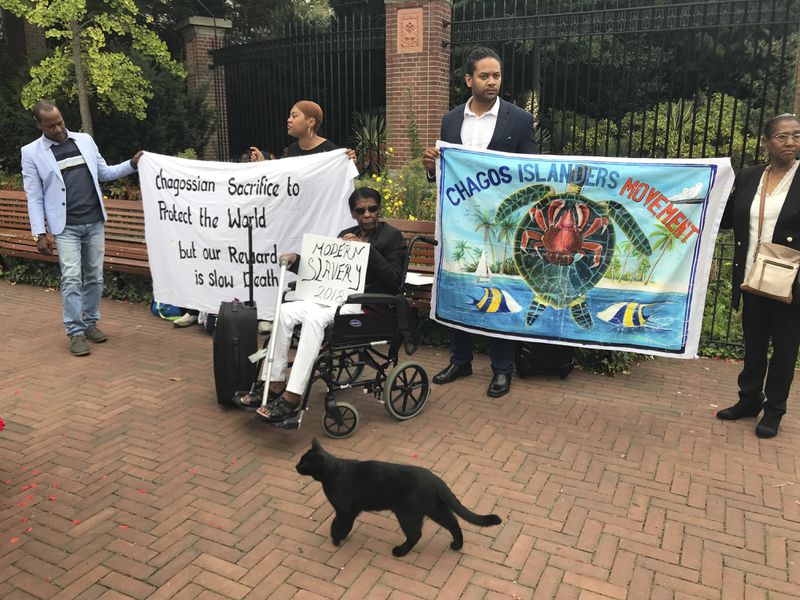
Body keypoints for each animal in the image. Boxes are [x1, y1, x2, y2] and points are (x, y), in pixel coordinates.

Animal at [296, 436, 504, 556]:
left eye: (305, 463)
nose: (296, 466)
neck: (334, 472)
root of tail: (433, 477)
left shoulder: (345, 510)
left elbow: (336, 524)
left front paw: (335, 539)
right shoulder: (351, 512)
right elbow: (345, 525)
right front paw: (342, 536)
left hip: (407, 512)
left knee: (416, 534)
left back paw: (400, 551)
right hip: (434, 508)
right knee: (453, 522)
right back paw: (456, 545)